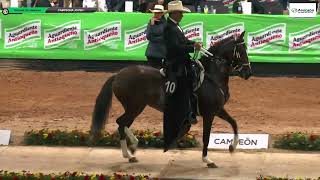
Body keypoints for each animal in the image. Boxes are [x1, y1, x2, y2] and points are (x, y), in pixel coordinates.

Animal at [90, 31, 252, 168]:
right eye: (241, 50)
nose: (248, 72)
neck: (212, 77)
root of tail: (118, 75)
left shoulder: (218, 110)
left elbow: (234, 123)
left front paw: (232, 147)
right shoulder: (209, 114)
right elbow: (206, 137)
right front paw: (207, 160)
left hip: (135, 107)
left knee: (122, 124)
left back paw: (132, 150)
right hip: (135, 107)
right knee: (121, 123)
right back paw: (129, 153)